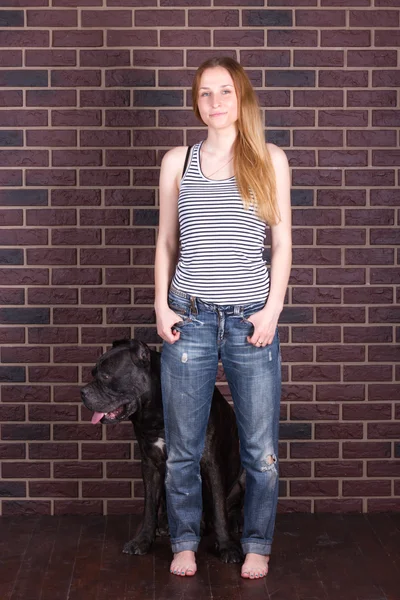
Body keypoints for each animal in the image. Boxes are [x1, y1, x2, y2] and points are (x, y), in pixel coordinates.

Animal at [80, 340, 244, 564]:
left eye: (105, 376)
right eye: (93, 373)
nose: (82, 392)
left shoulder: (211, 464)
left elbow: (220, 511)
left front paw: (227, 546)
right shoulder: (150, 465)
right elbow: (149, 507)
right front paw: (142, 540)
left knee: (229, 505)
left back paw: (234, 521)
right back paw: (167, 525)